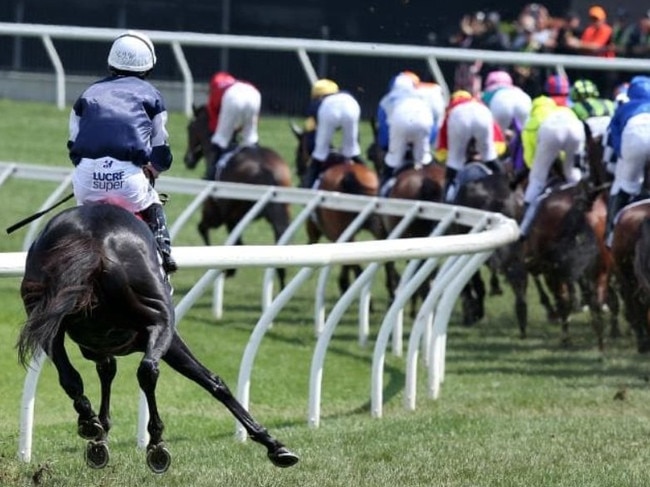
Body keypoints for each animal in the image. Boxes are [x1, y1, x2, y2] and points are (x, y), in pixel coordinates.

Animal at [16, 205, 298, 472]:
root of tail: (90, 238)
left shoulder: (100, 345)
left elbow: (106, 373)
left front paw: (99, 436)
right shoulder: (166, 339)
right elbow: (213, 381)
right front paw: (273, 444)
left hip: (44, 318)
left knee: (70, 377)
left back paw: (88, 420)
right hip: (159, 319)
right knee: (147, 370)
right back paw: (156, 444)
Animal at [184, 103, 292, 286]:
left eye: (189, 128)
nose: (187, 160)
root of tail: (265, 168)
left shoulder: (218, 214)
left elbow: (203, 228)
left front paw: (225, 268)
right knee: (281, 237)